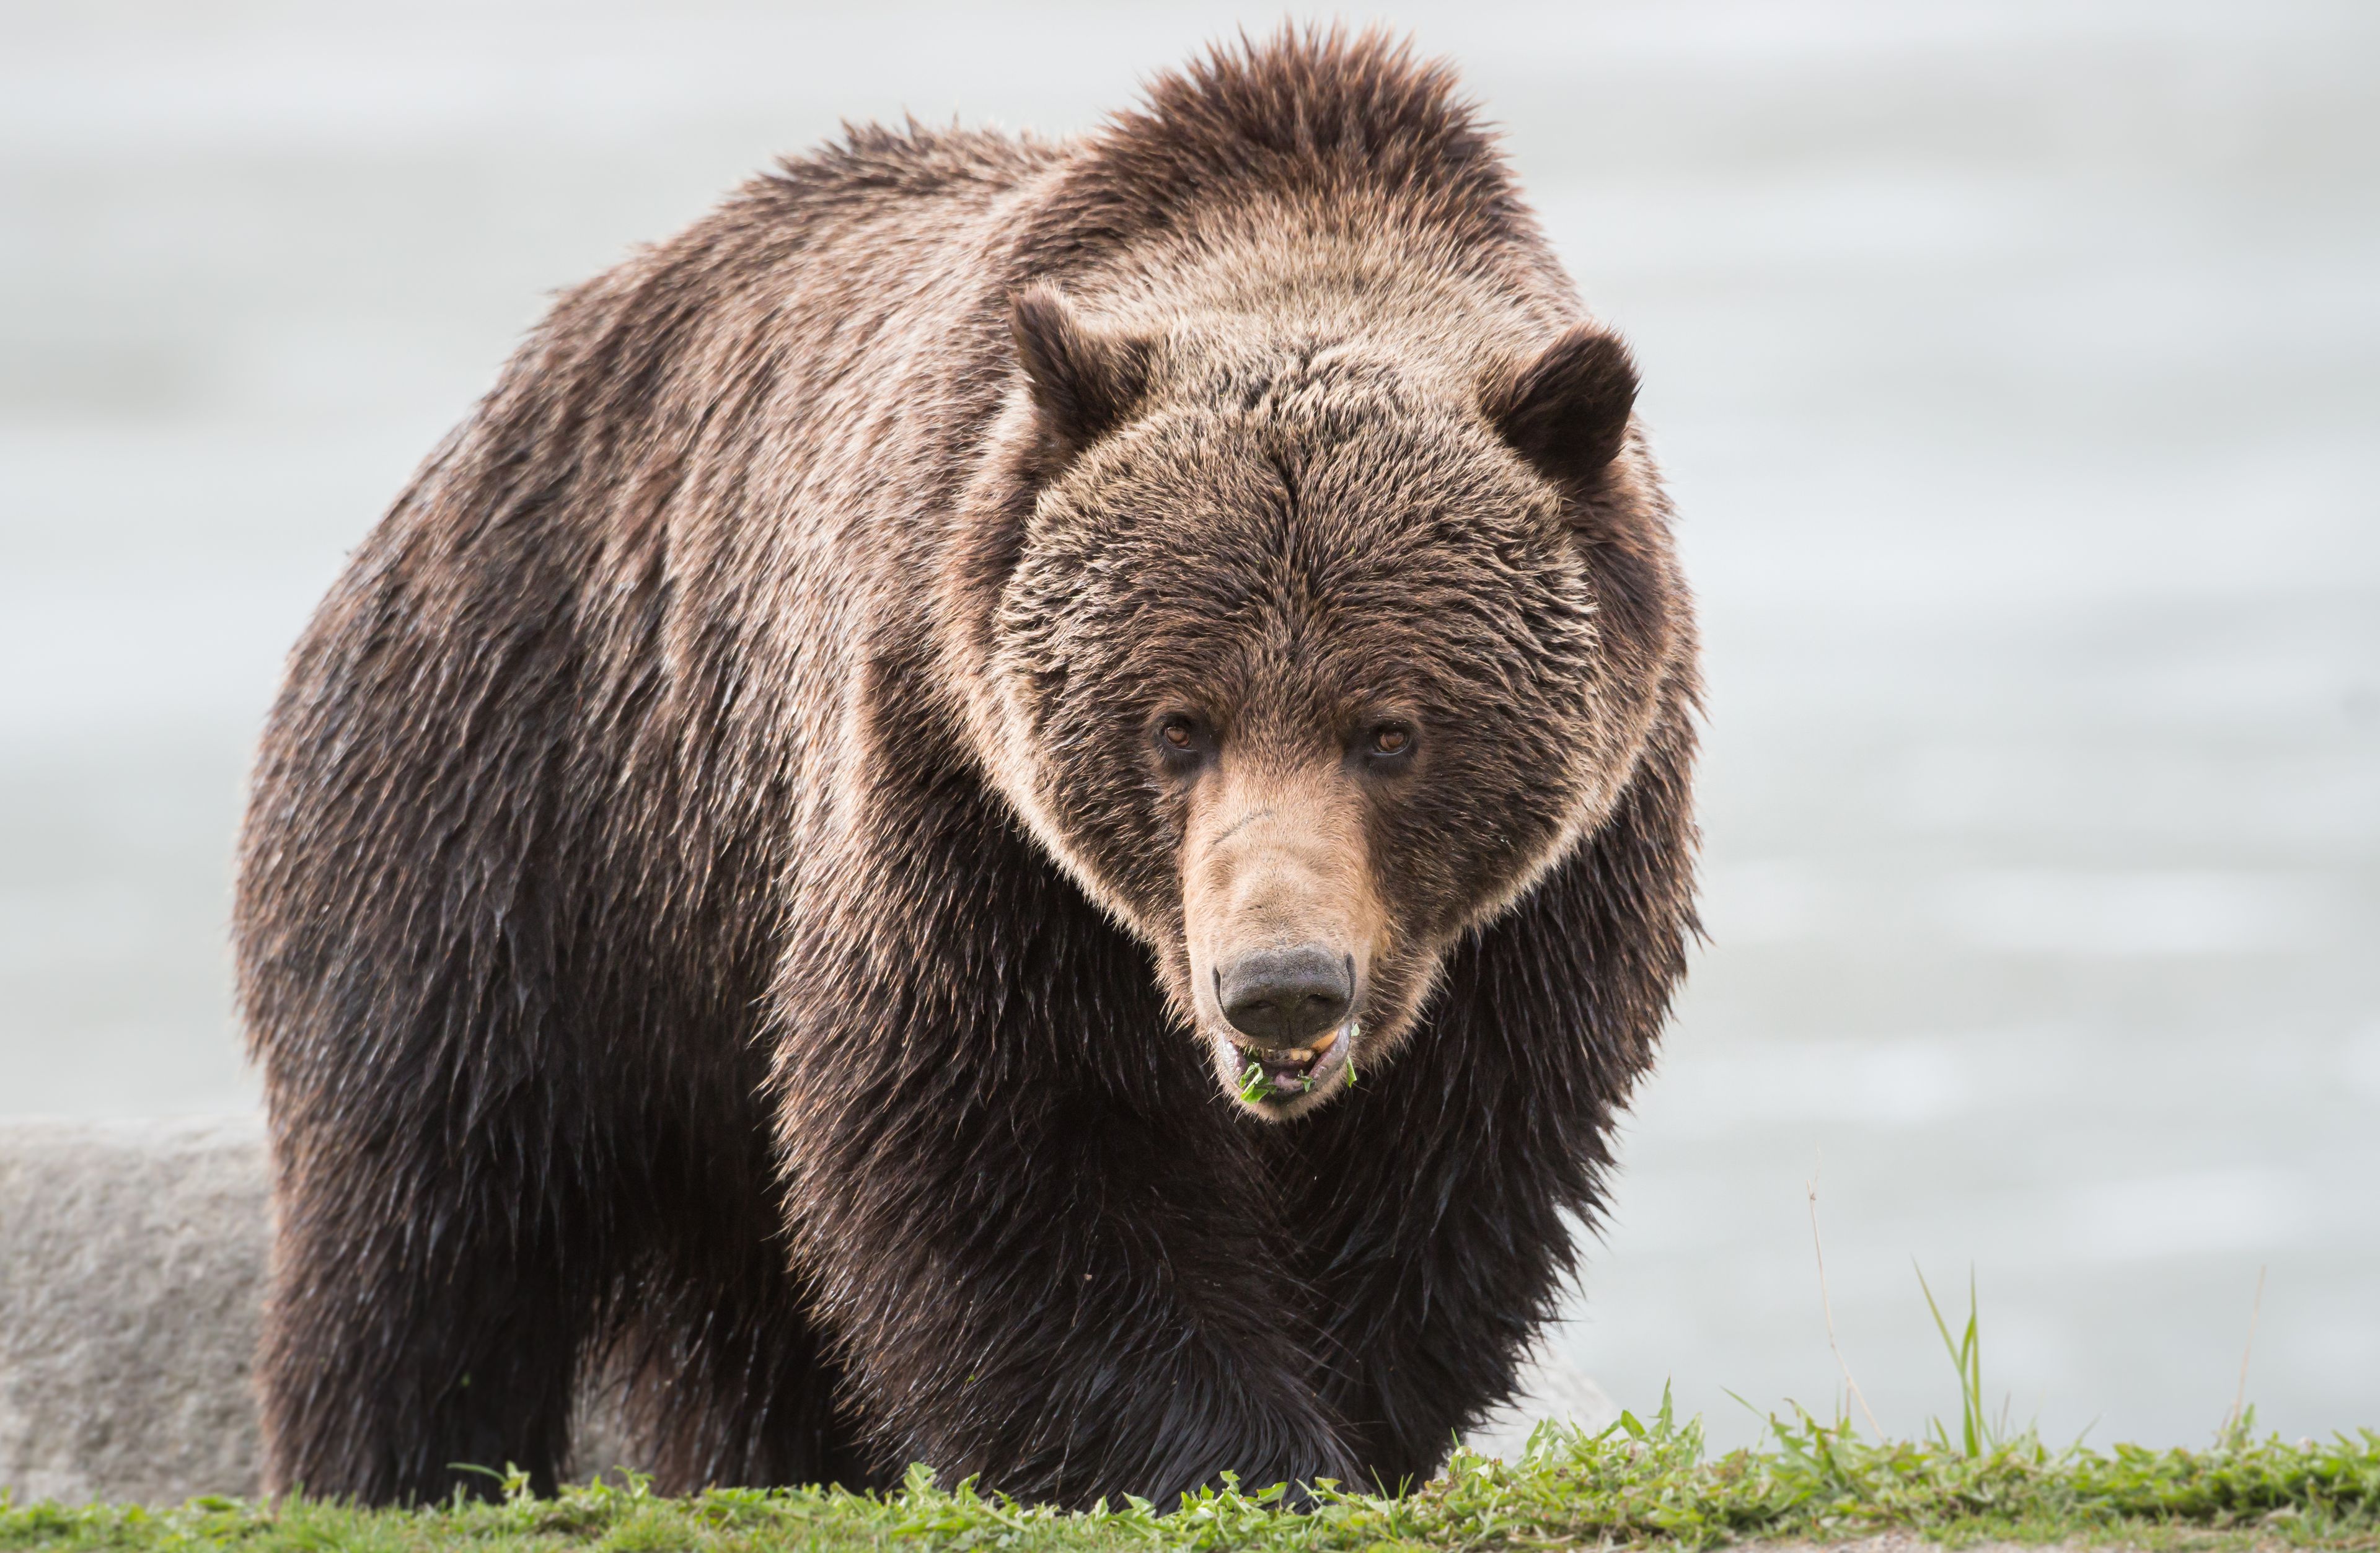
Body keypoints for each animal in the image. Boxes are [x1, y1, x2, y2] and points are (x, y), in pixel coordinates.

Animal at [232, 27, 1695, 1503]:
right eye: (1179, 722)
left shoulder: (1556, 892)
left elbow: (1449, 1170)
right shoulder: (958, 787)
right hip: (527, 811)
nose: (1280, 982)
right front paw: (1232, 1454)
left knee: (736, 1312)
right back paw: (401, 1461)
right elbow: (1007, 1143)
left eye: (1390, 729)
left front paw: (1347, 1424)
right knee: (430, 1217)